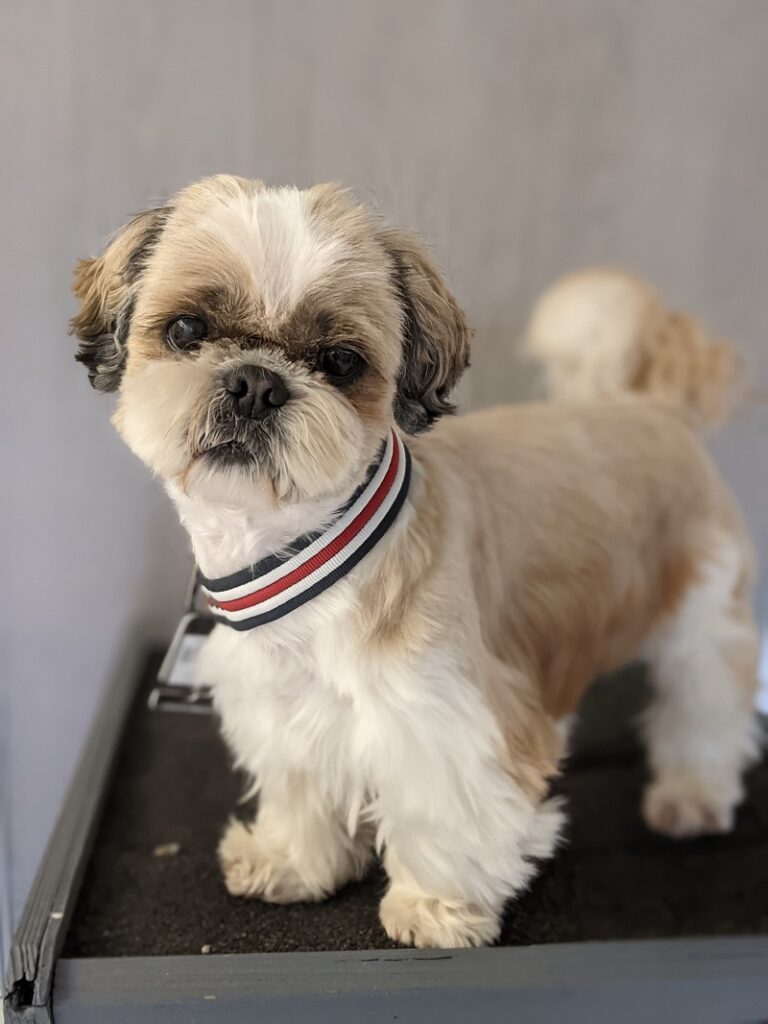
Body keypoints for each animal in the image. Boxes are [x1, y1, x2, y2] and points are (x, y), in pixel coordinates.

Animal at [72, 178, 765, 950]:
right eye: (188, 329)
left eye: (341, 361)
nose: (254, 382)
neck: (304, 548)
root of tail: (651, 407)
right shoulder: (284, 708)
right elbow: (302, 791)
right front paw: (292, 860)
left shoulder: (448, 718)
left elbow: (448, 809)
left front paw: (436, 905)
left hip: (704, 612)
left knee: (706, 706)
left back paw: (691, 795)